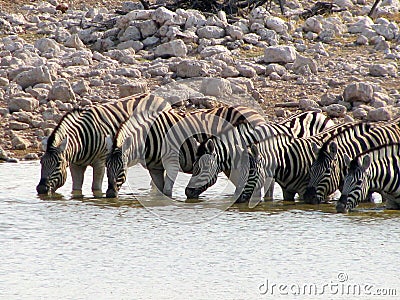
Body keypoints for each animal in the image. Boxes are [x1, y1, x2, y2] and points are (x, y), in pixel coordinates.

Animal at [36, 94, 170, 197]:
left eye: (58, 164)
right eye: (41, 163)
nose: (41, 189)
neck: (81, 142)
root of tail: (161, 98)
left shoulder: (100, 163)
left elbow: (95, 188)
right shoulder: (76, 165)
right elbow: (76, 188)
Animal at [103, 104, 268, 198]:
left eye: (122, 169)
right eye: (107, 168)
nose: (109, 194)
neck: (148, 138)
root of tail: (257, 114)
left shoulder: (171, 161)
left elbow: (167, 191)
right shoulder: (154, 167)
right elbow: (160, 192)